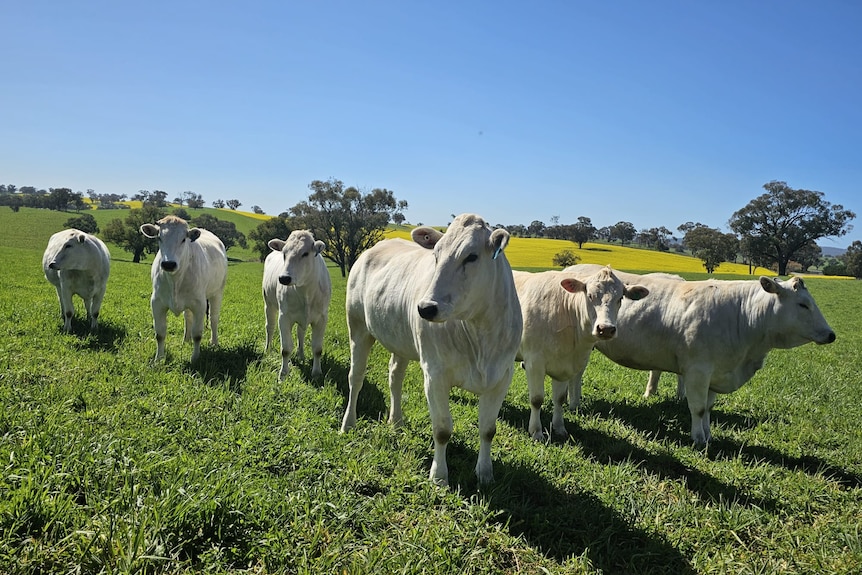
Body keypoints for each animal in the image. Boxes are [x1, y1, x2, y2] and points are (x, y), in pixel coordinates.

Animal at [140, 216, 228, 362]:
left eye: (183, 239)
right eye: (159, 238)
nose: (169, 264)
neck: (175, 280)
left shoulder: (200, 304)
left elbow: (197, 334)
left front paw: (195, 358)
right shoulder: (157, 302)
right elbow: (160, 333)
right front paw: (158, 359)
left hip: (217, 293)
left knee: (213, 318)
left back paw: (214, 342)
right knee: (188, 318)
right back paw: (186, 340)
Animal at [263, 230, 332, 380]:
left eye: (305, 253)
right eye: (284, 253)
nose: (284, 278)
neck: (305, 290)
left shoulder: (321, 318)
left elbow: (317, 349)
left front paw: (317, 373)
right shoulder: (284, 317)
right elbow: (285, 349)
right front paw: (283, 374)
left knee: (301, 333)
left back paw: (301, 355)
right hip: (269, 304)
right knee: (269, 327)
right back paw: (267, 349)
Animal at [340, 214, 523, 486]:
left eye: (471, 256)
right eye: (436, 255)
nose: (425, 308)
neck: (479, 334)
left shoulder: (501, 376)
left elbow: (488, 429)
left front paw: (485, 473)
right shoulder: (434, 375)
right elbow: (442, 429)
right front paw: (439, 477)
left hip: (400, 339)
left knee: (395, 376)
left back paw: (396, 421)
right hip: (358, 328)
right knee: (356, 378)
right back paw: (348, 423)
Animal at [513, 266, 649, 440]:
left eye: (620, 298)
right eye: (589, 295)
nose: (605, 329)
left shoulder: (565, 366)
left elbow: (560, 398)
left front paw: (559, 428)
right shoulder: (534, 362)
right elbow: (537, 399)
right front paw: (536, 432)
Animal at [565, 264, 835, 445]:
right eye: (803, 304)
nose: (831, 334)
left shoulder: (717, 372)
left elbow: (709, 407)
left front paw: (708, 434)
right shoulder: (698, 370)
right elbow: (698, 407)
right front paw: (698, 438)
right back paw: (574, 403)